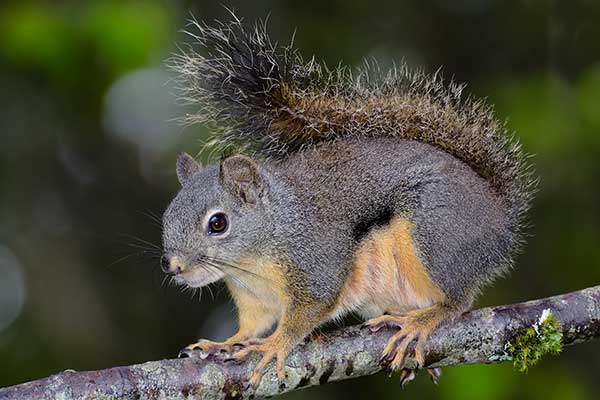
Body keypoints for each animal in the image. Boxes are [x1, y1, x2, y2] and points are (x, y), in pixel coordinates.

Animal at [158, 17, 536, 390]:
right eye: (167, 217)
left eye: (217, 223)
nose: (172, 266)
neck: (254, 261)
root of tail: (500, 220)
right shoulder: (254, 300)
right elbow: (252, 326)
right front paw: (222, 343)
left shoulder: (316, 261)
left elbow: (308, 311)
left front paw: (274, 345)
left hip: (436, 234)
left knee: (458, 300)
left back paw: (424, 319)